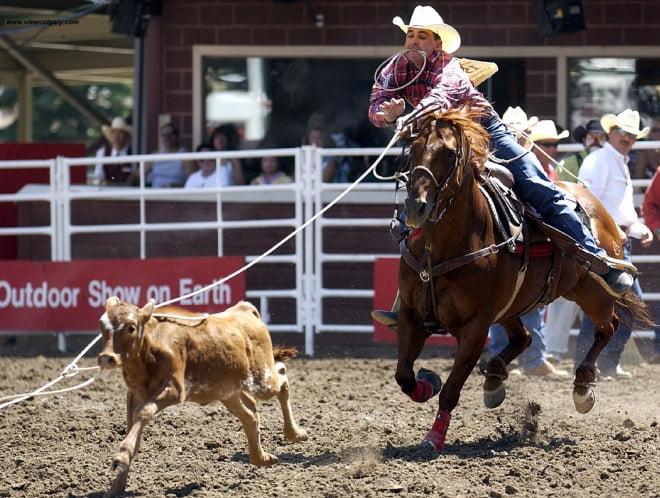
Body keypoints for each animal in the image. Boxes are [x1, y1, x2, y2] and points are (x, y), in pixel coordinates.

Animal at [97, 296, 308, 497]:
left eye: (131, 327)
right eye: (103, 326)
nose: (106, 358)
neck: (151, 347)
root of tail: (244, 310)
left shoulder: (174, 389)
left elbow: (143, 413)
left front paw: (120, 458)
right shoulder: (134, 394)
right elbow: (134, 428)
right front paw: (116, 487)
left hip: (263, 379)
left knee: (282, 378)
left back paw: (294, 433)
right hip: (228, 392)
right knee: (250, 416)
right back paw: (262, 458)